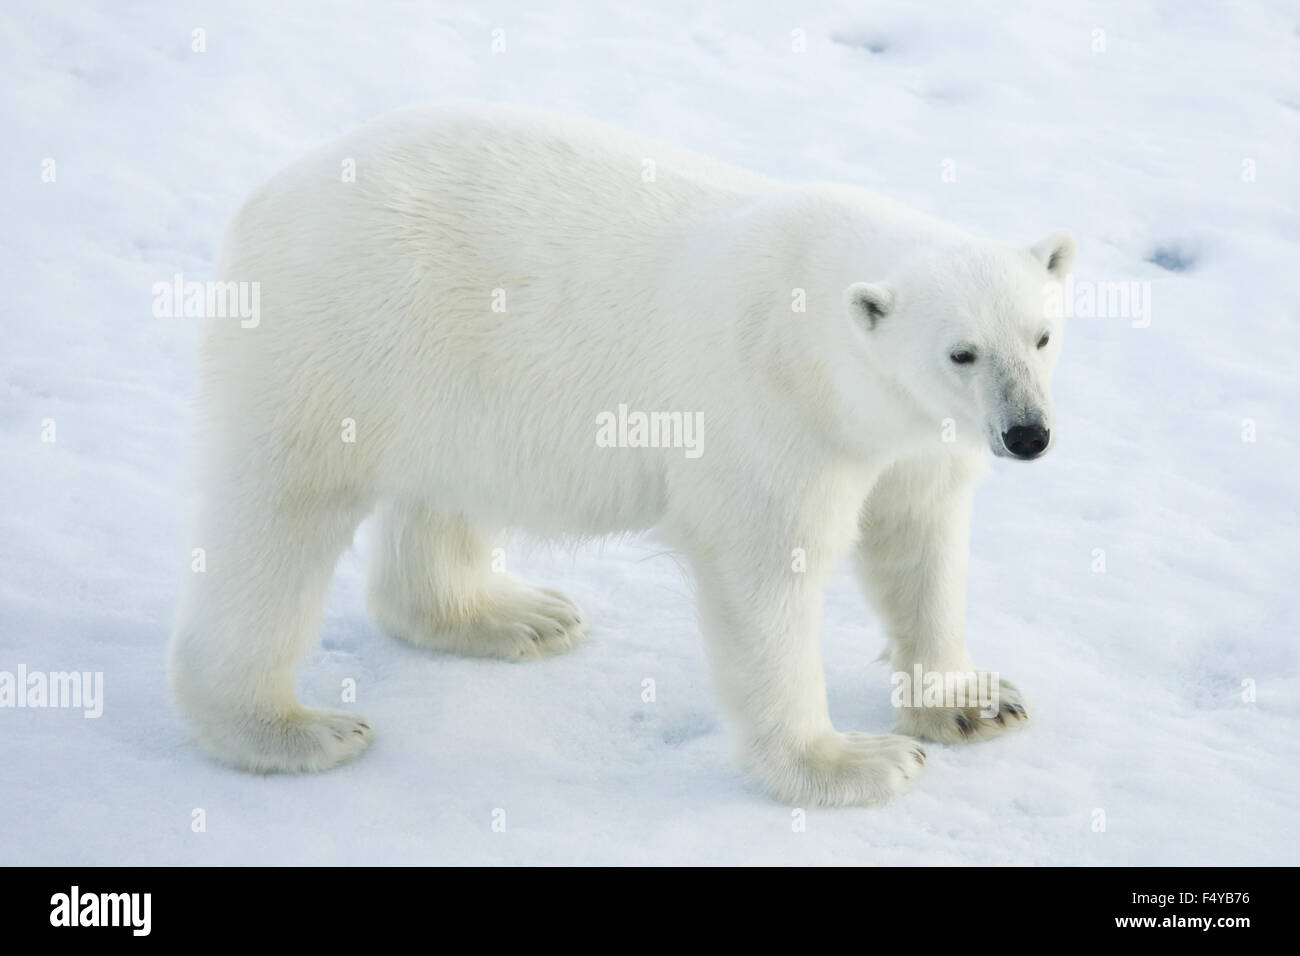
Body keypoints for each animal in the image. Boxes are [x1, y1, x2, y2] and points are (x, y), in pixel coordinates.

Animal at [167, 102, 1071, 806]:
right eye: (961, 352)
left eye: (1041, 334)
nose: (1027, 434)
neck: (821, 344)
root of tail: (267, 195)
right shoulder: (769, 410)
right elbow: (766, 570)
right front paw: (854, 765)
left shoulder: (910, 433)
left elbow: (918, 539)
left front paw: (974, 702)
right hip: (337, 337)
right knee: (279, 521)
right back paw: (287, 729)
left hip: (454, 378)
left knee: (442, 492)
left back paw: (516, 616)